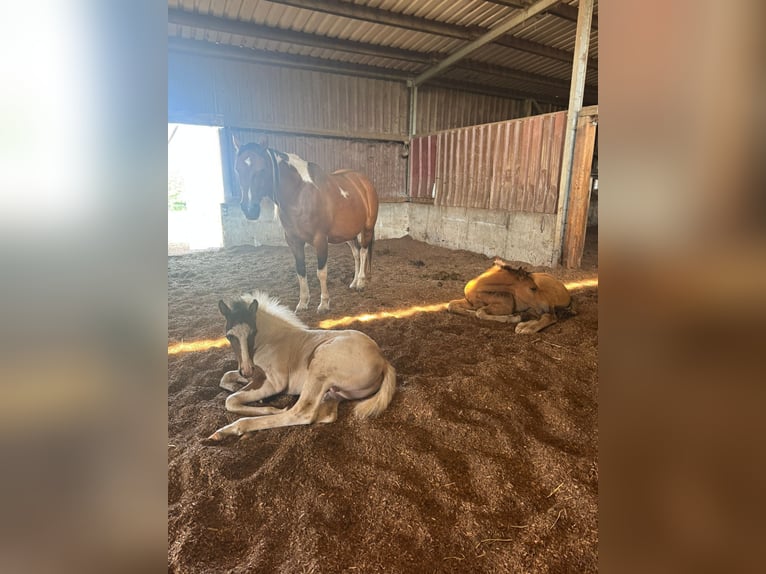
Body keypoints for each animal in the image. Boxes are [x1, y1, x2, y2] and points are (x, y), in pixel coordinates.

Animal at [206, 291, 396, 441]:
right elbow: (226, 377)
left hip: (320, 364)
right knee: (326, 414)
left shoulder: (275, 382)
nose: (246, 370)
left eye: (253, 332)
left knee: (301, 413)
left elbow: (231, 400)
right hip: (334, 392)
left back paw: (229, 430)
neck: (270, 341)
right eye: (229, 336)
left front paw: (269, 407)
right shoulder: (255, 374)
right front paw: (236, 387)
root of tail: (383, 360)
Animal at [233, 138, 379, 313]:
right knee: (356, 253)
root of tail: (364, 182)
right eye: (237, 170)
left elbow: (321, 272)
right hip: (348, 233)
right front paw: (303, 303)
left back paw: (361, 282)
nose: (249, 209)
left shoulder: (320, 240)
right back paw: (354, 282)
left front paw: (324, 303)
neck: (299, 194)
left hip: (367, 228)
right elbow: (301, 271)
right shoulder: (294, 241)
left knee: (363, 252)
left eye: (261, 170)